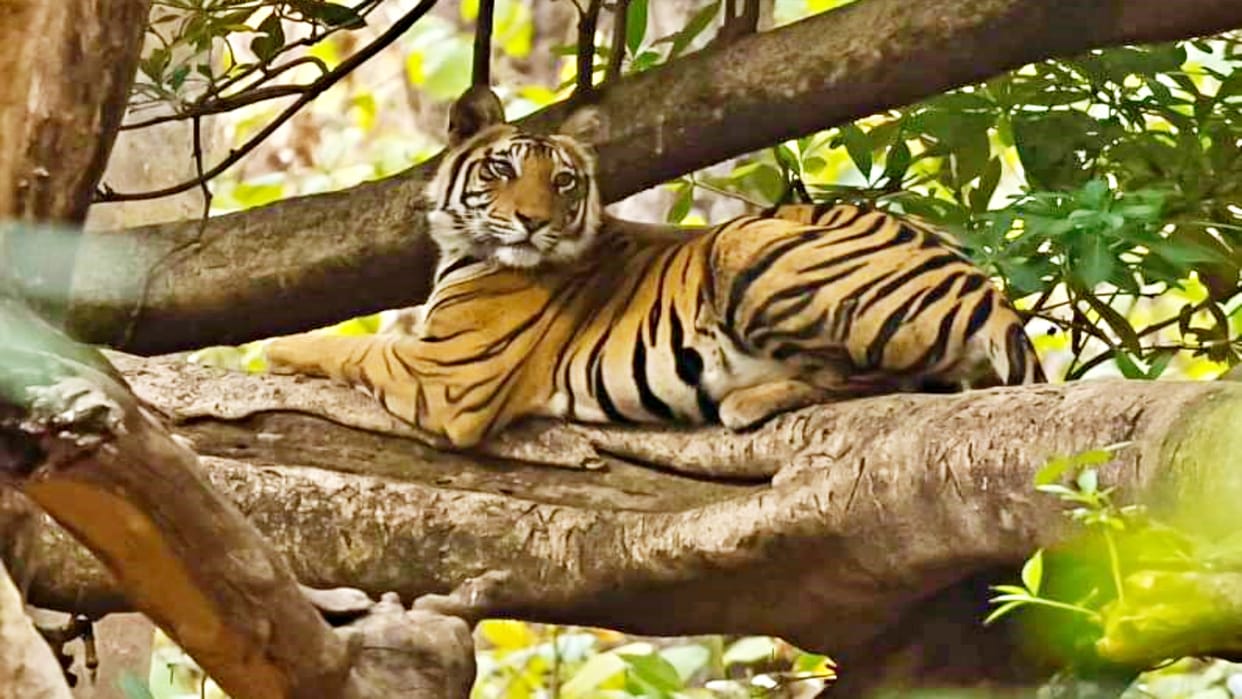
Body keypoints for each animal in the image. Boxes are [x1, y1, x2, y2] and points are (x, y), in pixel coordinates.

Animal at [265, 89, 1046, 450]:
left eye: (564, 182)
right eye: (503, 169)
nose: (534, 221)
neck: (464, 249)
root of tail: (985, 286)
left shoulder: (448, 377)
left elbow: (353, 347)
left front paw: (274, 349)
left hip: (745, 245)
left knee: (888, 378)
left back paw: (748, 400)